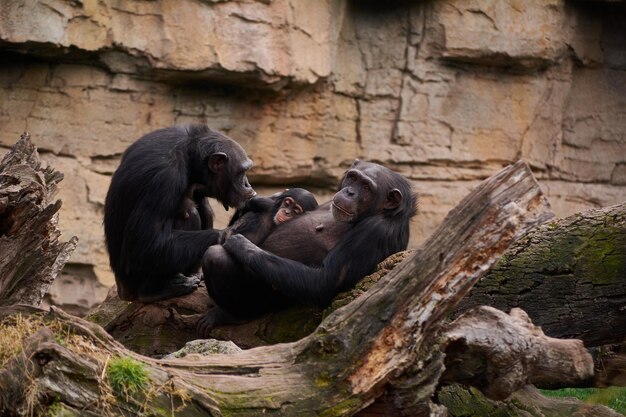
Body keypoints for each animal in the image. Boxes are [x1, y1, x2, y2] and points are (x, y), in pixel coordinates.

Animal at [103, 123, 255, 302]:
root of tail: (123, 292)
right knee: (188, 212)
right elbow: (144, 245)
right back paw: (156, 289)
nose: (248, 184)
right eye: (242, 171)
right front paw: (230, 232)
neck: (189, 155)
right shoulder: (165, 178)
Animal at [197, 159, 416, 332]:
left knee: (216, 257)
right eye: (353, 178)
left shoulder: (376, 231)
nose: (350, 192)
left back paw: (229, 314)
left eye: (367, 187)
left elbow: (326, 280)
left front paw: (239, 242)